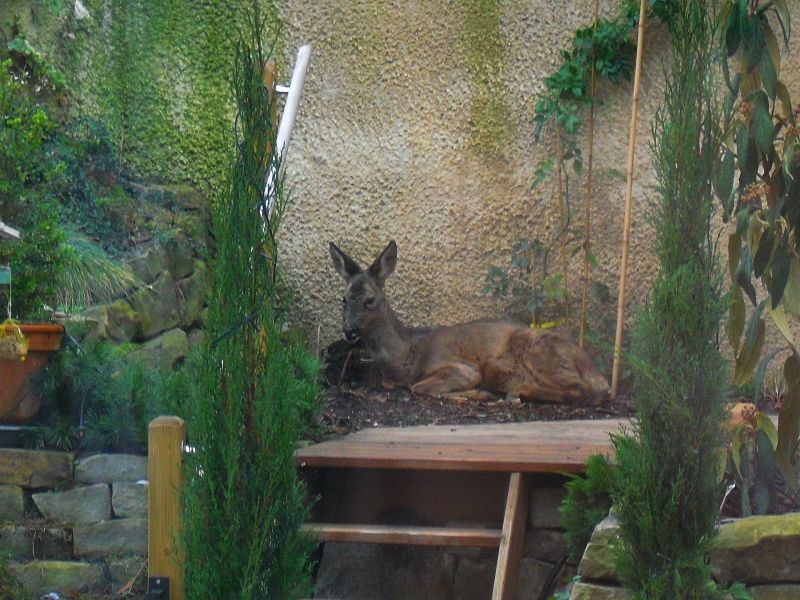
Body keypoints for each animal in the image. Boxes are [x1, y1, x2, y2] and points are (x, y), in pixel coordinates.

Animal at [329, 240, 609, 404]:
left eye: (370, 300)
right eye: (343, 299)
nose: (349, 330)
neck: (407, 357)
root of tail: (594, 369)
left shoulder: (460, 367)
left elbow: (419, 387)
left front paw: (476, 393)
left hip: (537, 354)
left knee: (583, 391)